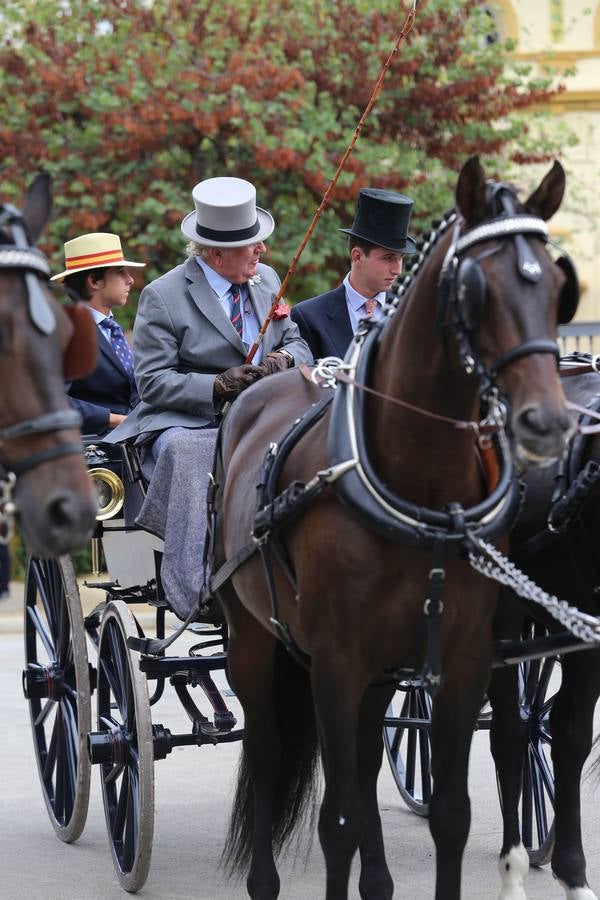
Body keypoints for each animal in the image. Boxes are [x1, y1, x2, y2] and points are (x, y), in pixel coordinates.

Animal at [217, 158, 576, 900]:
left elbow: (449, 812)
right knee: (266, 752)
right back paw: (264, 880)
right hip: (252, 638)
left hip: (383, 667)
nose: (546, 422)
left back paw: (378, 880)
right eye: (474, 288)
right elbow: (338, 819)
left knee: (360, 754)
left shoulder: (465, 659)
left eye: (560, 286)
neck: (423, 490)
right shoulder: (334, 661)